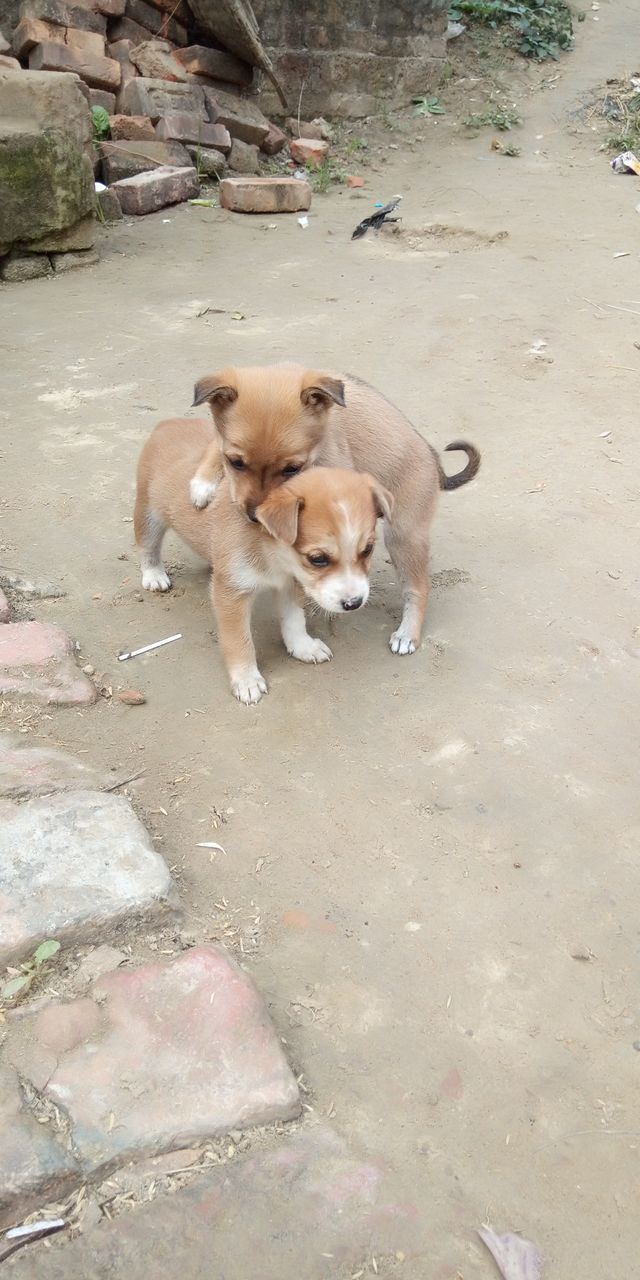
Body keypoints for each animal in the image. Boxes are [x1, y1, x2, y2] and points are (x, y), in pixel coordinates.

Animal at [133, 417, 389, 701]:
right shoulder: (232, 594)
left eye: (367, 550)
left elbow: (294, 620)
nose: (354, 603)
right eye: (318, 559)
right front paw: (246, 678)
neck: (273, 554)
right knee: (147, 546)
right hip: (148, 513)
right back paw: (154, 575)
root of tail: (170, 422)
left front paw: (303, 646)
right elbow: (239, 640)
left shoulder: (290, 584)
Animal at [186, 363, 478, 655]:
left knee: (418, 588)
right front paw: (202, 483)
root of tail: (434, 460)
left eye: (292, 469)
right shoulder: (224, 444)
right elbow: (215, 445)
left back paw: (408, 634)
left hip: (404, 536)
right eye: (235, 462)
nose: (254, 516)